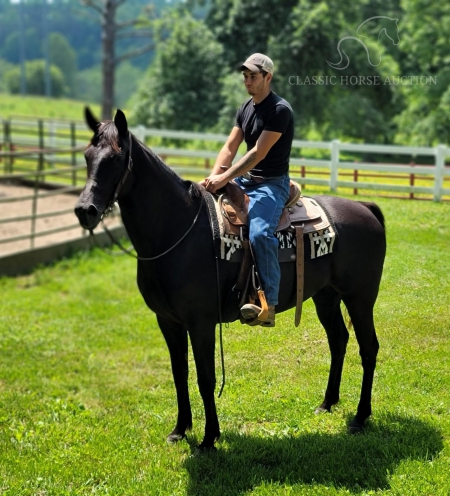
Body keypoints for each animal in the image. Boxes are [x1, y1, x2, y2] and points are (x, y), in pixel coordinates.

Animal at [74, 108, 386, 450]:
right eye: (87, 156)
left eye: (116, 158)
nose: (85, 210)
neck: (178, 229)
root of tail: (365, 207)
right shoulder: (168, 321)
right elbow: (179, 374)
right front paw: (180, 429)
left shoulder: (200, 322)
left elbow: (205, 378)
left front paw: (209, 437)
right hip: (326, 296)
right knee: (338, 340)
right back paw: (327, 403)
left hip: (360, 299)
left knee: (368, 348)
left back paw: (360, 416)